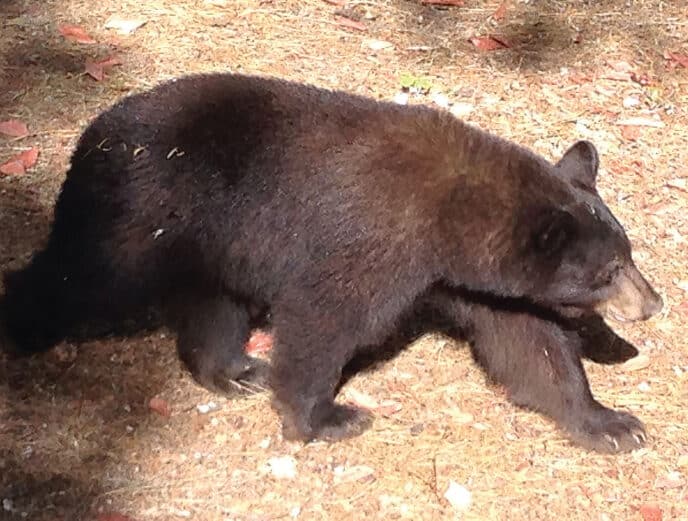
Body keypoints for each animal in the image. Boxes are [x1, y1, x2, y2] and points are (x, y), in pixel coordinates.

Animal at [1, 73, 663, 450]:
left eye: (629, 255)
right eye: (608, 273)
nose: (654, 303)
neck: (452, 219)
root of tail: (96, 132)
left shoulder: (473, 285)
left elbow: (530, 347)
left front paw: (611, 423)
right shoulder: (376, 241)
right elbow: (327, 316)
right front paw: (326, 417)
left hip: (213, 241)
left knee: (213, 306)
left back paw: (234, 370)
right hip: (146, 214)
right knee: (81, 277)